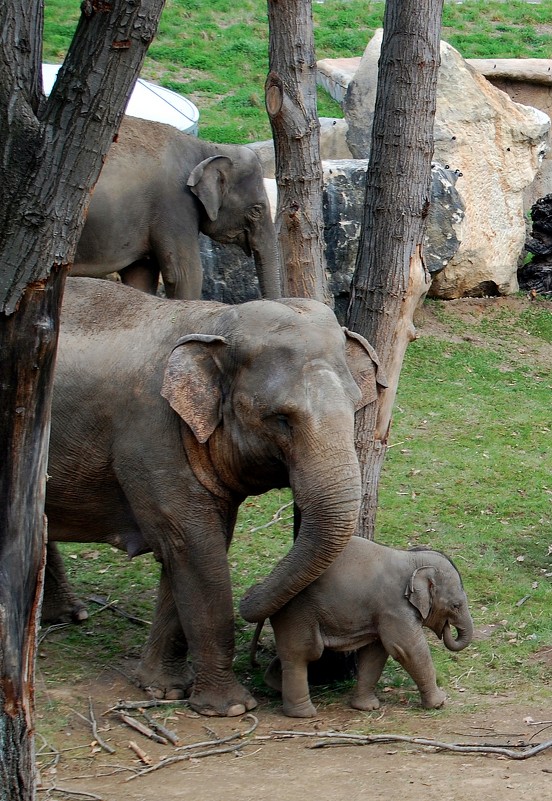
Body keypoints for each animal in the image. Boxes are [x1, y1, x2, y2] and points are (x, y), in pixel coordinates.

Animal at [45, 278, 386, 716]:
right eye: (280, 418)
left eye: (355, 405)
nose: (253, 592)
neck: (214, 319)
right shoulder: (151, 438)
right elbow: (193, 546)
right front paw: (231, 708)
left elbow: (201, 546)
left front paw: (163, 689)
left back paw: (68, 615)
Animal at [252, 536, 472, 716]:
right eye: (456, 605)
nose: (447, 628)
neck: (412, 558)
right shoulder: (394, 608)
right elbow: (407, 650)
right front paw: (439, 703)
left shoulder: (381, 613)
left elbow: (376, 653)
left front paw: (367, 707)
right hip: (297, 613)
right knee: (304, 653)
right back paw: (303, 713)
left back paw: (274, 684)